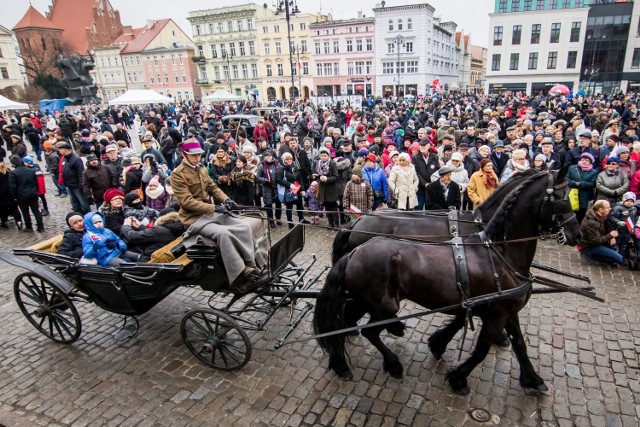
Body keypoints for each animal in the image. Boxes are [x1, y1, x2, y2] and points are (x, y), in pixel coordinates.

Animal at [312, 170, 584, 394]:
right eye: (561, 197)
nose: (577, 234)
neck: (498, 251)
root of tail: (356, 229)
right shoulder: (496, 312)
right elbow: (481, 348)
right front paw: (458, 376)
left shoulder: (503, 308)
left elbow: (519, 343)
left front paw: (532, 378)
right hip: (381, 305)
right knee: (366, 329)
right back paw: (391, 361)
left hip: (365, 300)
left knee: (345, 321)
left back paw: (341, 362)